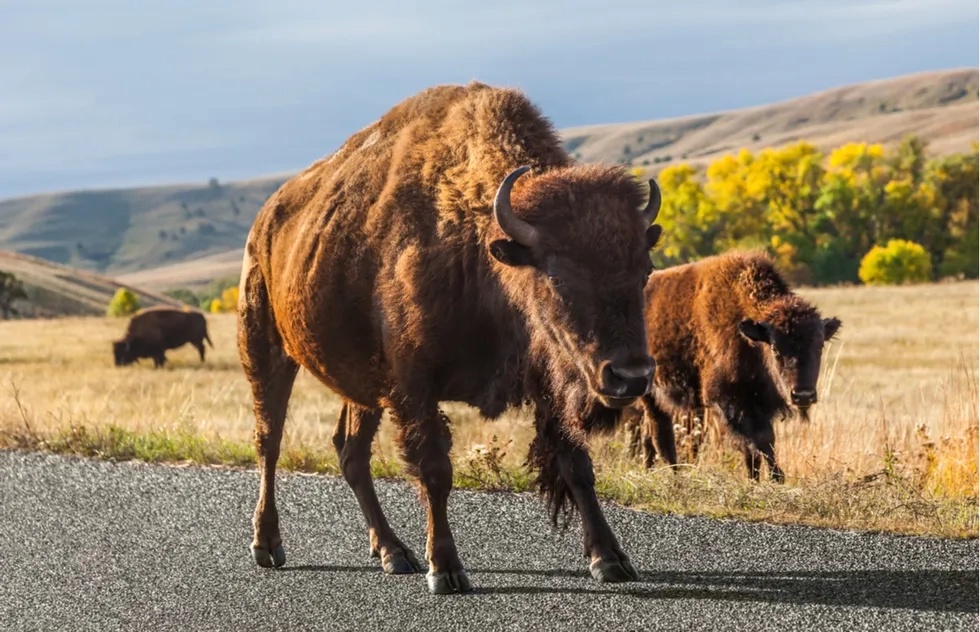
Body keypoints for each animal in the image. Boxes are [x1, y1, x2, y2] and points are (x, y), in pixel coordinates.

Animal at [238, 82, 663, 594]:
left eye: (645, 271)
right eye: (558, 277)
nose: (631, 376)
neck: (488, 256)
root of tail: (266, 220)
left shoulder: (548, 385)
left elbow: (576, 464)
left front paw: (610, 559)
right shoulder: (414, 387)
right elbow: (436, 471)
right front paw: (445, 569)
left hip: (361, 385)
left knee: (350, 451)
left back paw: (392, 552)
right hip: (266, 348)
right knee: (269, 439)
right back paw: (267, 545)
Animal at [628, 250, 841, 482]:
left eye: (820, 346)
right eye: (775, 349)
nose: (803, 395)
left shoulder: (758, 403)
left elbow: (758, 447)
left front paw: (757, 479)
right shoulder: (729, 401)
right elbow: (760, 440)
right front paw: (776, 478)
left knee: (649, 437)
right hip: (651, 394)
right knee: (661, 435)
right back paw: (674, 475)